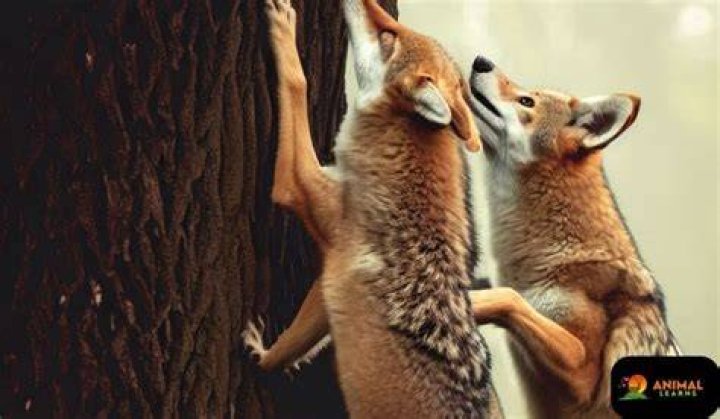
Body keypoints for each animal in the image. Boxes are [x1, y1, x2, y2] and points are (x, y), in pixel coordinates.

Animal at [243, 0, 504, 417]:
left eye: (387, 36)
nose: (358, 2)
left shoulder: (294, 186)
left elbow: (298, 82)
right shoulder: (328, 286)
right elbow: (296, 344)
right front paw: (277, 357)